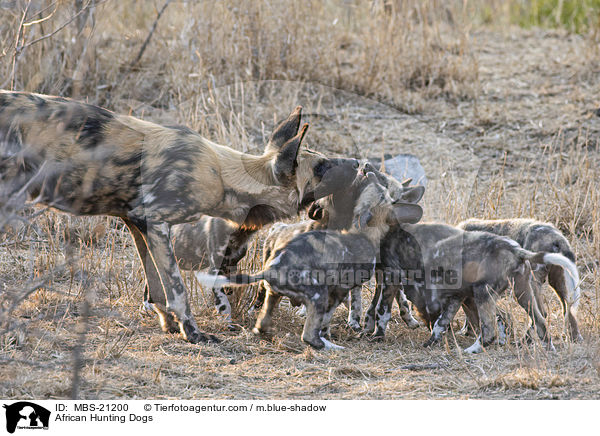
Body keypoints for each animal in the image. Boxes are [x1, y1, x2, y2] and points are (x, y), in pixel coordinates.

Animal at [0, 91, 356, 344]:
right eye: (322, 167)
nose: (357, 163)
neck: (222, 175)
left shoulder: (139, 224)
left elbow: (157, 289)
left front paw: (169, 325)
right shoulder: (158, 225)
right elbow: (178, 289)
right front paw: (193, 333)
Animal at [196, 169, 422, 350]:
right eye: (381, 190)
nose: (367, 170)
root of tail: (272, 269)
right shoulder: (340, 288)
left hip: (275, 292)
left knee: (262, 323)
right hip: (316, 293)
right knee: (307, 335)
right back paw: (328, 345)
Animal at [368, 223, 580, 352]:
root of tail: (515, 249)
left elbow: (384, 309)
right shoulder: (457, 297)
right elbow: (442, 322)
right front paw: (433, 340)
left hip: (483, 293)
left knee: (489, 330)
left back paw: (474, 349)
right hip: (522, 292)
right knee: (540, 320)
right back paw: (548, 347)